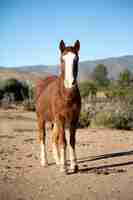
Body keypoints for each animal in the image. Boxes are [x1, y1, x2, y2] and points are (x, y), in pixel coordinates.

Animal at [35, 39, 81, 173]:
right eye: (62, 59)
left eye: (76, 59)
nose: (70, 82)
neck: (66, 95)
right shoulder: (61, 118)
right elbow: (63, 141)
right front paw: (64, 167)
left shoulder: (74, 118)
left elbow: (71, 141)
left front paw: (73, 165)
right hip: (41, 118)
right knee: (42, 137)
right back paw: (45, 162)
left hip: (54, 121)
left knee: (53, 138)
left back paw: (58, 160)